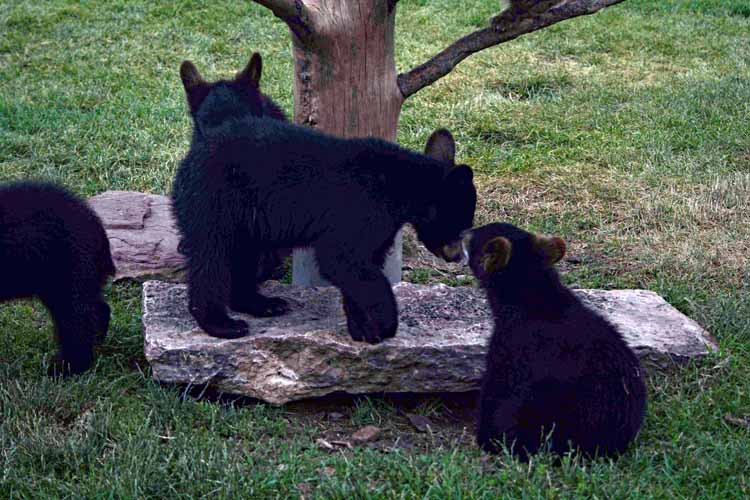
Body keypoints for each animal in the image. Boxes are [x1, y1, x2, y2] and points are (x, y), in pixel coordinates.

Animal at [172, 54, 477, 343]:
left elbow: (359, 267)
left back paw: (261, 303)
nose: (457, 257)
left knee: (245, 255)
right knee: (211, 257)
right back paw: (221, 323)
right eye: (459, 225)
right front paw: (386, 321)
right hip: (214, 202)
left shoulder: (381, 228)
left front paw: (362, 329)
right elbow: (342, 259)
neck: (398, 185)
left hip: (249, 221)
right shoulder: (362, 211)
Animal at [462, 223, 646, 461]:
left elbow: (496, 394)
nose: (462, 232)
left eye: (472, 240)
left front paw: (485, 437)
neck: (534, 298)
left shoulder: (510, 347)